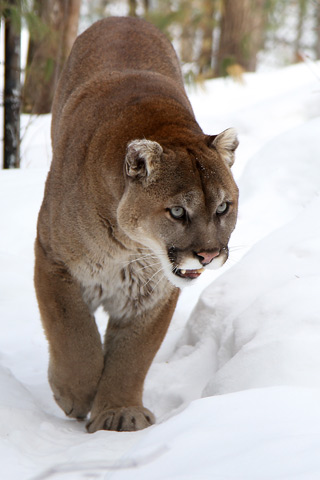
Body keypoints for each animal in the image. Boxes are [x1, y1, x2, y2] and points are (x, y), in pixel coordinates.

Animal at [35, 16, 240, 434]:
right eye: (177, 212)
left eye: (223, 207)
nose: (209, 255)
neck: (126, 247)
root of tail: (122, 17)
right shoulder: (52, 258)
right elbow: (73, 333)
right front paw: (74, 393)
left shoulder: (154, 291)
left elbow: (134, 354)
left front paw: (119, 412)